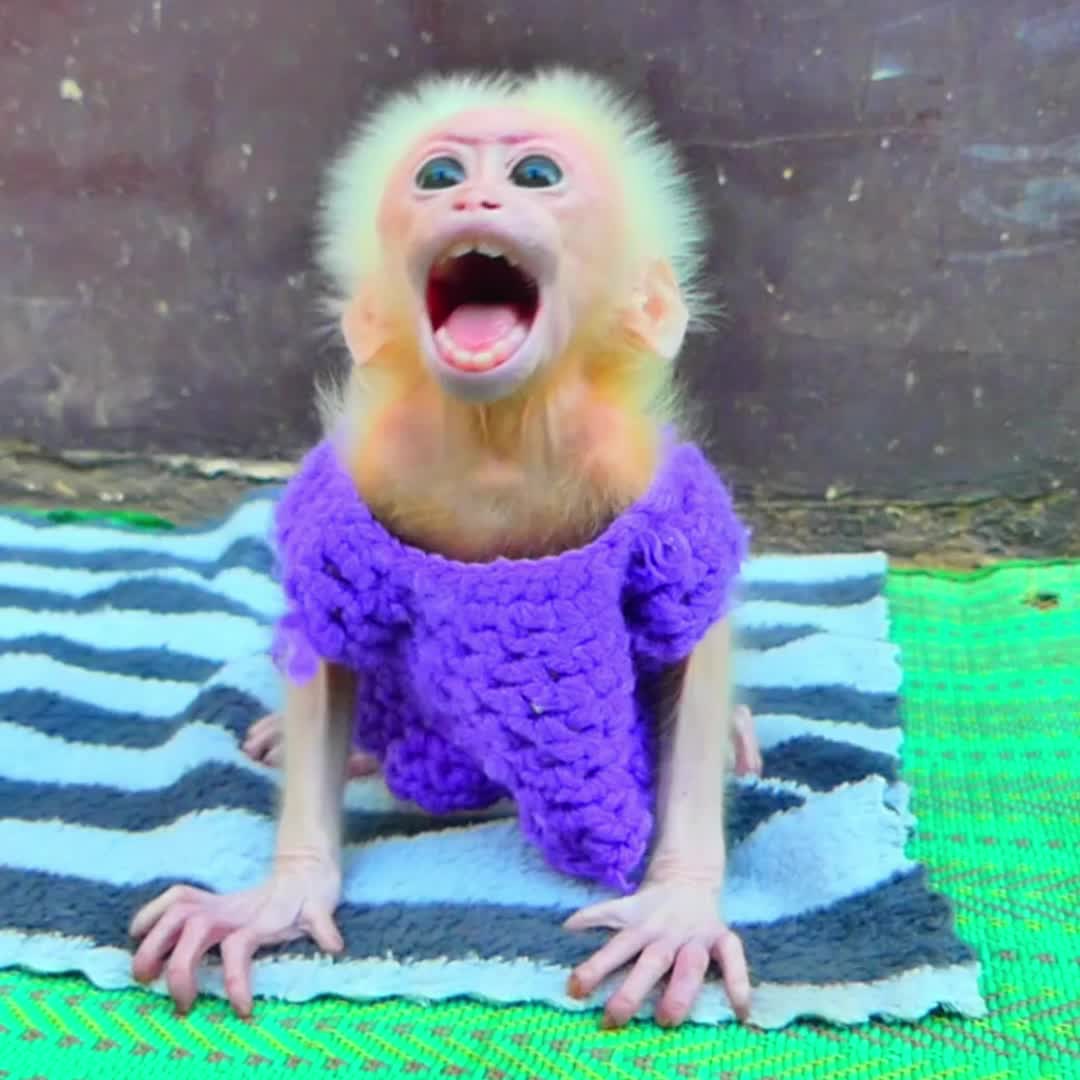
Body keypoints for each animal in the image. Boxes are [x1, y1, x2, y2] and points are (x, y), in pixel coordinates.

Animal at [129, 67, 763, 1030]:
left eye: (537, 173)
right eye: (435, 178)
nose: (474, 197)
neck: (497, 432)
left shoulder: (636, 477)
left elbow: (691, 641)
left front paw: (678, 906)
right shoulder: (367, 473)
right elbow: (327, 640)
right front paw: (283, 894)